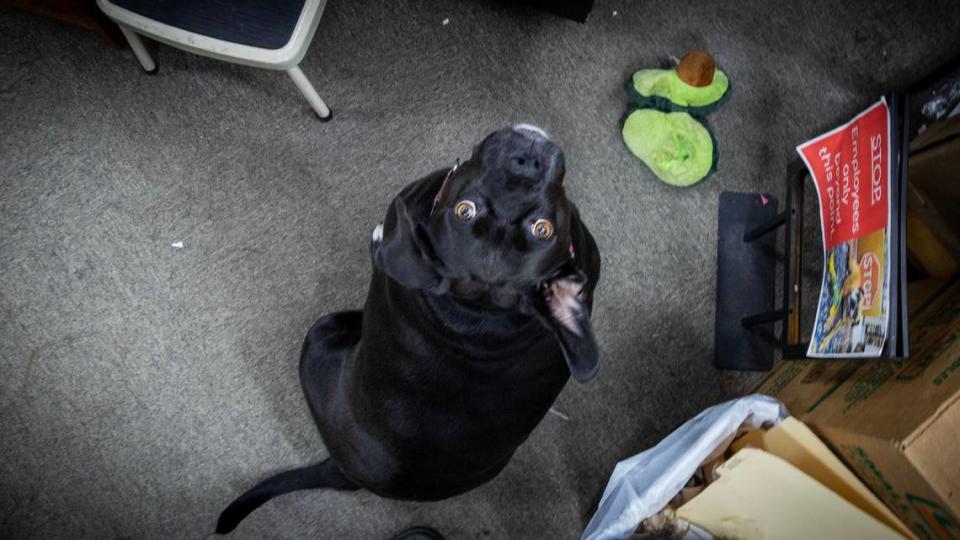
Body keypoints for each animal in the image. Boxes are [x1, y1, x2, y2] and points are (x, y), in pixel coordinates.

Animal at [218, 124, 600, 532]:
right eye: (465, 211)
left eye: (542, 229)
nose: (526, 161)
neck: (480, 310)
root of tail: (342, 471)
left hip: (318, 333)